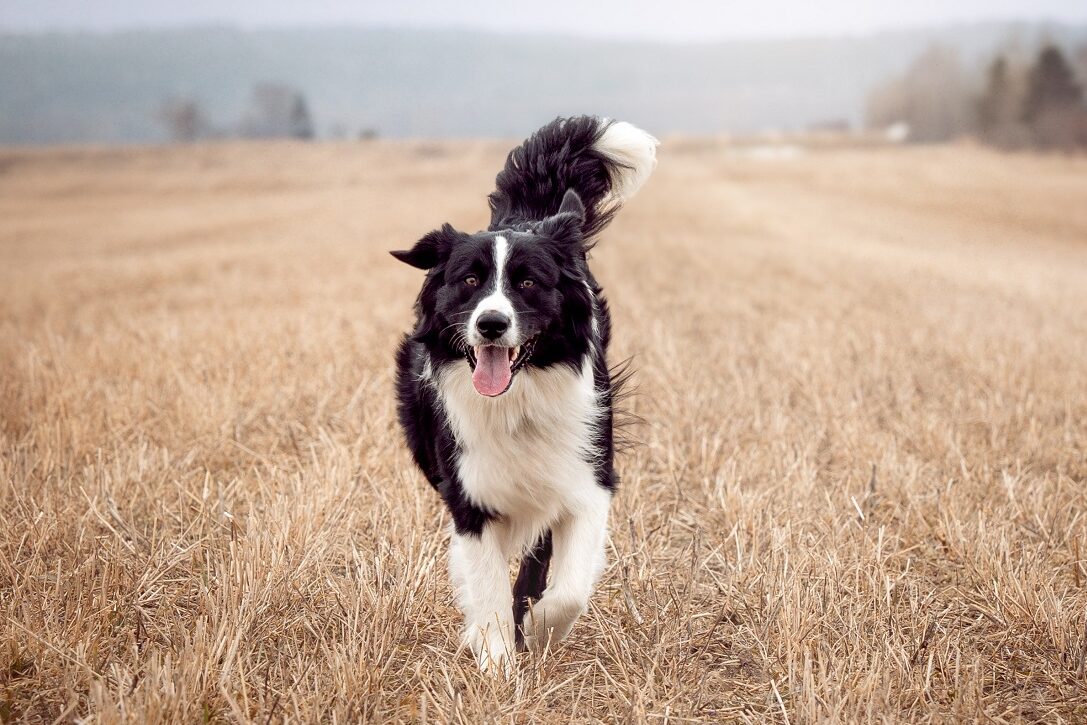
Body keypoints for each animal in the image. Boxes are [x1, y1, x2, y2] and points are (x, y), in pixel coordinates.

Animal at [395, 114, 656, 673]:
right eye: (470, 280)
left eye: (529, 283)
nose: (491, 324)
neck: (518, 401)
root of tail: (525, 217)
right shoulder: (468, 494)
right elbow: (486, 581)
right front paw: (494, 656)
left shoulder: (588, 479)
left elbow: (569, 589)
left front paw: (537, 631)